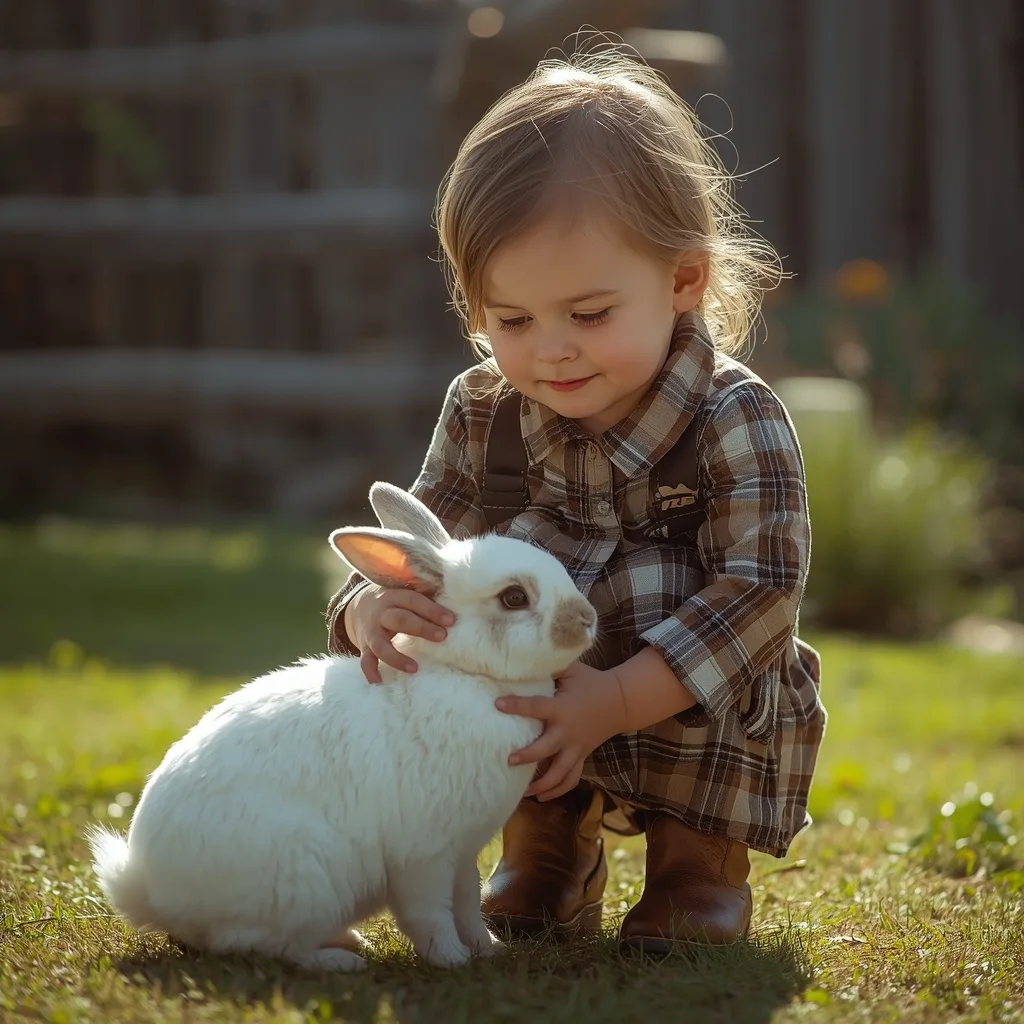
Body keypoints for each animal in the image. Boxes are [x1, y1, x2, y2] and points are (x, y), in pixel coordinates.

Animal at [86, 481, 597, 973]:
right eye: (514, 597)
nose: (587, 618)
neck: (467, 674)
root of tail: (153, 896)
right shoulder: (424, 856)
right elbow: (429, 913)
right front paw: (451, 959)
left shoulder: (463, 855)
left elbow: (468, 904)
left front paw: (488, 949)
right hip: (307, 880)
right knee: (263, 947)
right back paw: (342, 958)